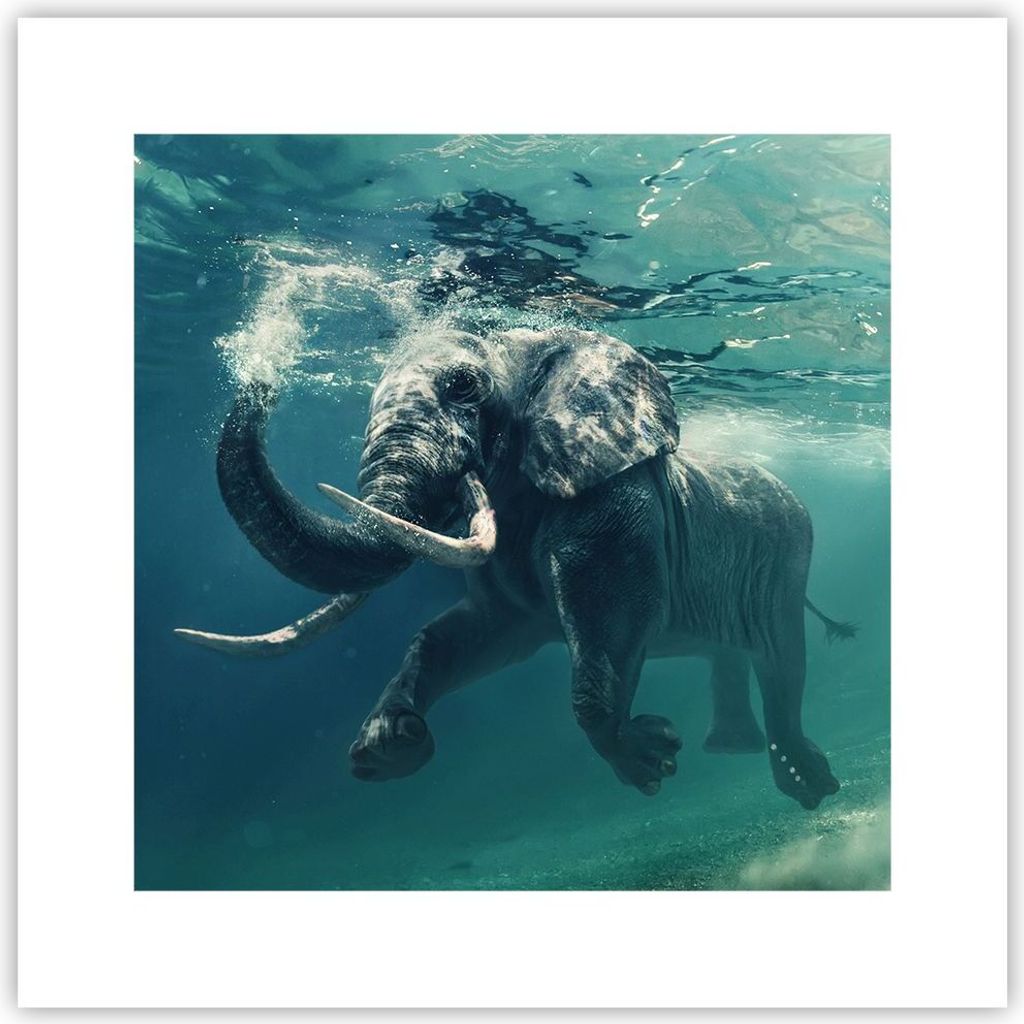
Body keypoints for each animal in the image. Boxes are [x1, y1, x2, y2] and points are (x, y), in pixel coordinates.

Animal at [177, 327, 856, 809]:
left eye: (463, 387)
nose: (261, 373)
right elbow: (465, 634)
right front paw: (389, 746)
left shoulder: (612, 499)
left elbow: (613, 615)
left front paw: (651, 760)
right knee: (732, 653)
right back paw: (733, 750)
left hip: (788, 557)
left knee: (782, 660)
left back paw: (808, 786)